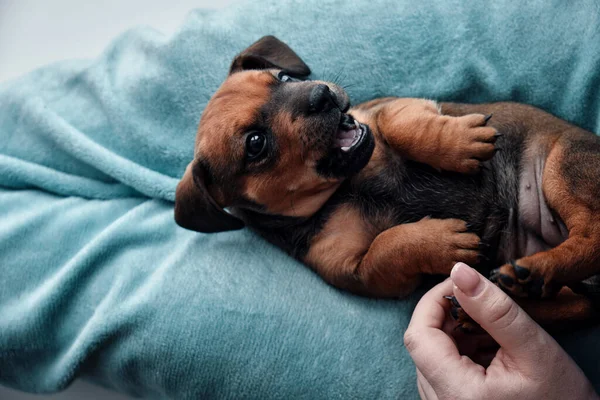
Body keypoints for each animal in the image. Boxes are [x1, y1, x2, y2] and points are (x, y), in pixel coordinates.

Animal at [176, 35, 600, 328]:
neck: (343, 187)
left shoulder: (389, 109)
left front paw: (460, 142)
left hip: (561, 168)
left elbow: (400, 125)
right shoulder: (358, 271)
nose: (321, 95)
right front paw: (440, 242)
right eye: (255, 143)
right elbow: (387, 247)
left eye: (281, 77)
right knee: (583, 283)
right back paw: (519, 287)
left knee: (589, 238)